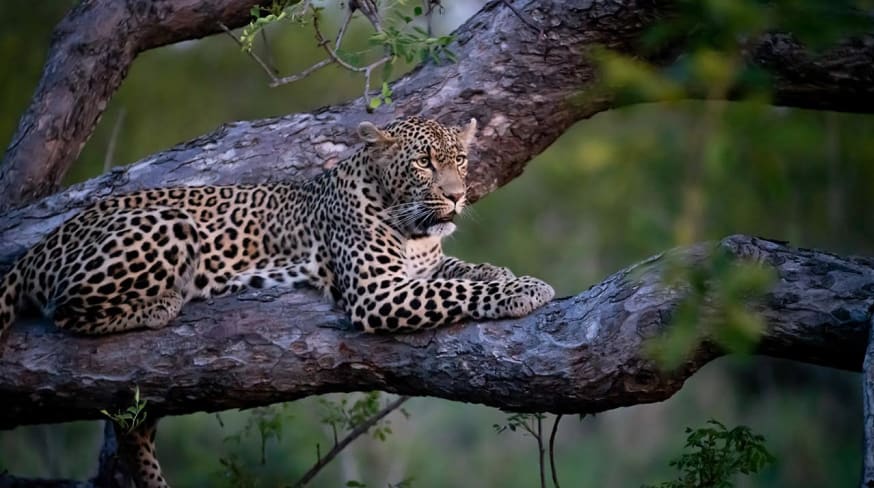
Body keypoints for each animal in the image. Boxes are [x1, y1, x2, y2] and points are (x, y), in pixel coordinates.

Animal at [0, 116, 554, 487]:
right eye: (423, 163)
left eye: (459, 159)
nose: (458, 196)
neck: (410, 223)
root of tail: (41, 246)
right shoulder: (379, 292)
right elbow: (457, 289)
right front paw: (524, 290)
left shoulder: (422, 267)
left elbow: (461, 271)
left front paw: (505, 273)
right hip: (166, 224)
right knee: (66, 310)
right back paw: (161, 303)